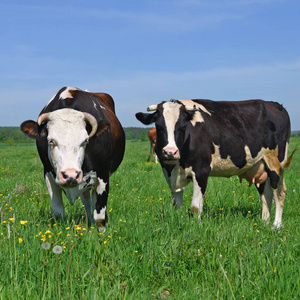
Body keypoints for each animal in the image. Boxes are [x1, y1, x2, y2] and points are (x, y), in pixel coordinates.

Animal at [20, 86, 125, 227]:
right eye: (51, 141)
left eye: (85, 140)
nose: (70, 175)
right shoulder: (48, 175)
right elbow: (58, 214)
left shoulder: (103, 176)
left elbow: (100, 218)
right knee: (86, 202)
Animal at [137, 98, 296, 227]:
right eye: (159, 127)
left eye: (182, 127)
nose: (170, 152)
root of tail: (274, 104)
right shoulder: (170, 173)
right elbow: (176, 204)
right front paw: (177, 222)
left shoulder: (201, 171)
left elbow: (195, 206)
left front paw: (196, 227)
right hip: (260, 166)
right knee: (266, 194)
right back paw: (264, 222)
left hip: (275, 164)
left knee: (279, 193)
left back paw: (276, 225)